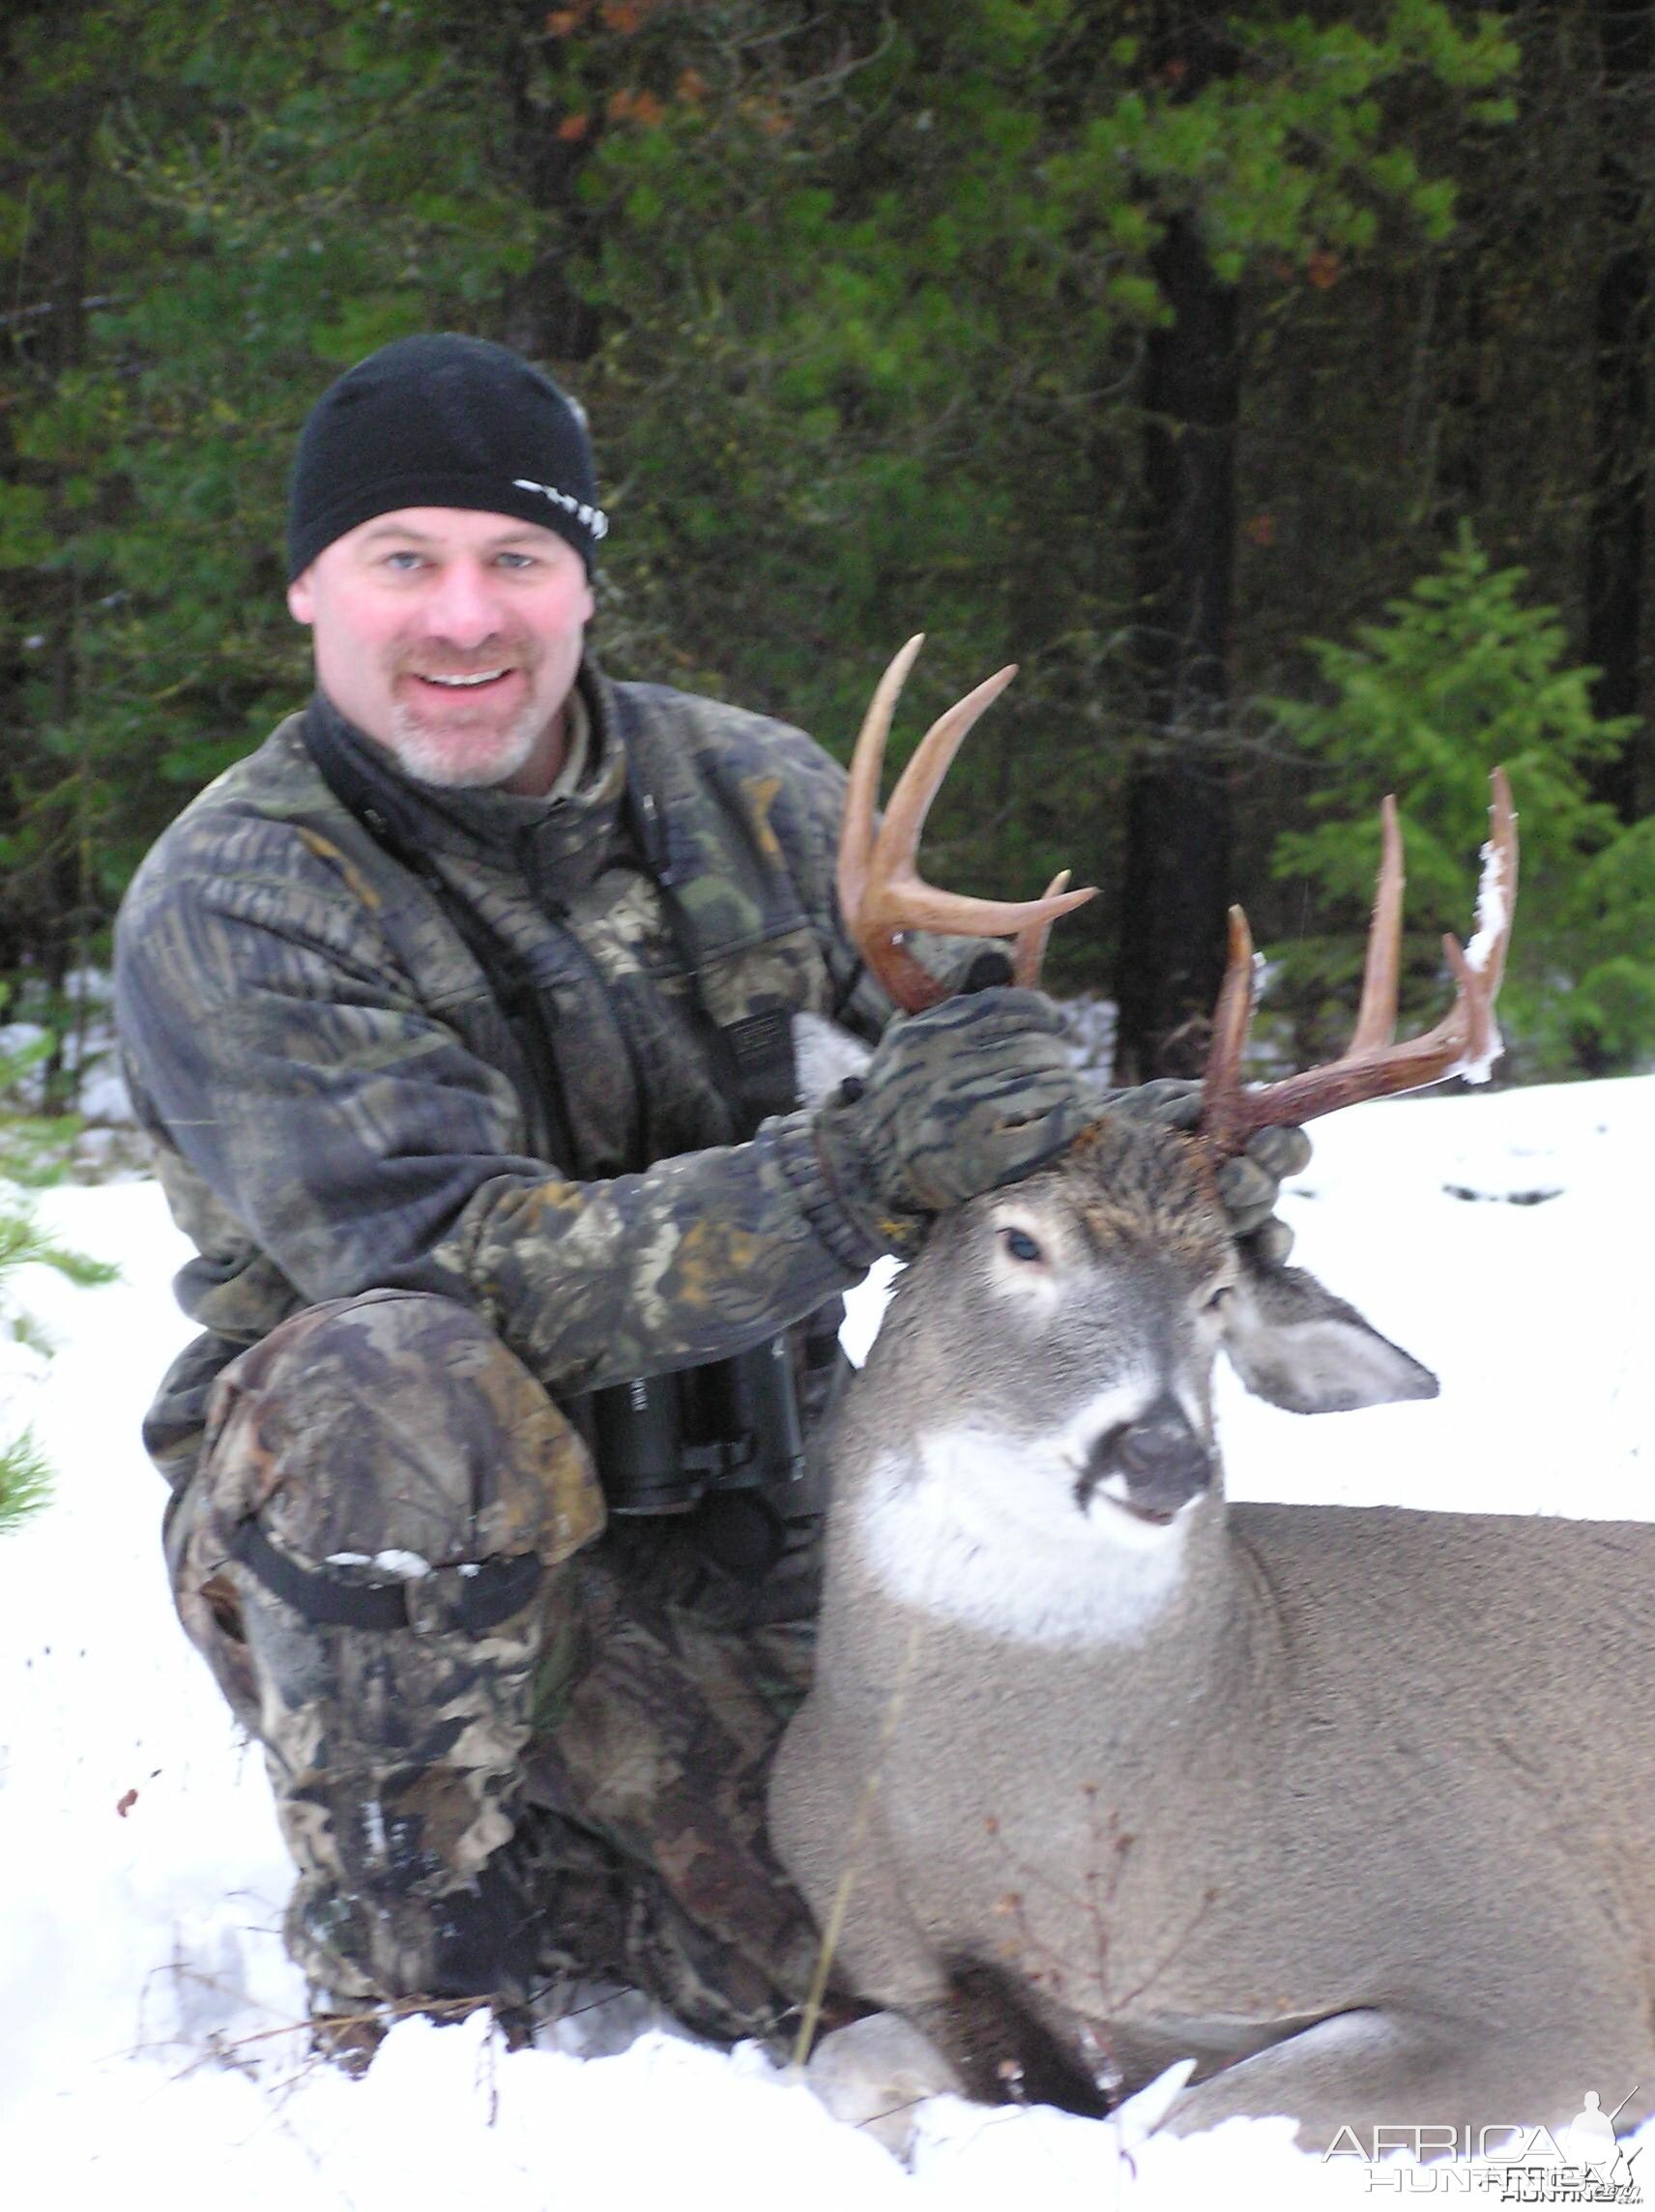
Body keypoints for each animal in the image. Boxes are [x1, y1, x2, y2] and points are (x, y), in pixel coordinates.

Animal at [774, 636, 1654, 2140]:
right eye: (1022, 1241)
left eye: (1216, 1294)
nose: (1163, 1458)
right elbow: (845, 2067)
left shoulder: (1545, 1968)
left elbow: (1193, 2114)